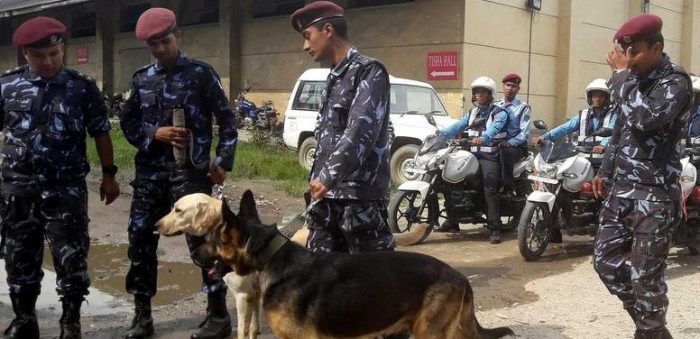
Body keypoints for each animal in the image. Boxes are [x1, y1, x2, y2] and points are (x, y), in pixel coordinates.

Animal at [156, 194, 430, 339]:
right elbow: (253, 327)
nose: (155, 226)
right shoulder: (255, 296)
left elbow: (243, 330)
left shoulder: (243, 296)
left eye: (177, 209)